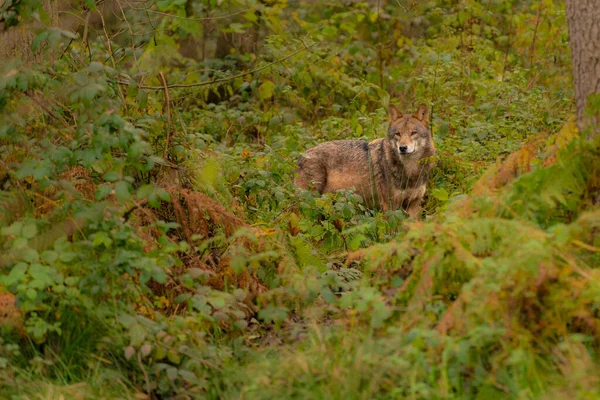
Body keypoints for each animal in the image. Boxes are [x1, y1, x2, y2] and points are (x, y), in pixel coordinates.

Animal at [296, 102, 436, 216]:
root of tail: (300, 156)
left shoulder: (414, 204)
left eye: (413, 133)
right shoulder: (390, 205)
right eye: (398, 134)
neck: (410, 171)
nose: (402, 148)